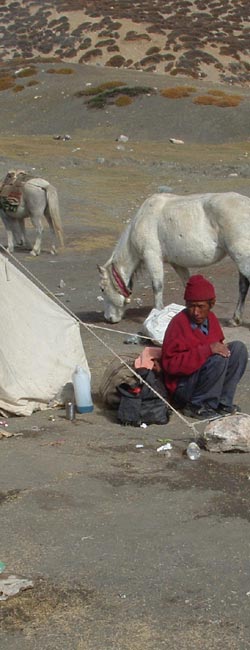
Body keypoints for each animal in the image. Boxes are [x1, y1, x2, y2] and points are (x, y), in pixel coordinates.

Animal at [98, 191, 250, 324]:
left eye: (102, 289)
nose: (108, 318)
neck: (142, 221)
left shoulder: (152, 257)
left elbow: (157, 286)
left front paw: (157, 313)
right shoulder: (177, 263)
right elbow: (187, 285)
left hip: (242, 258)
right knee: (243, 286)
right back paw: (235, 319)